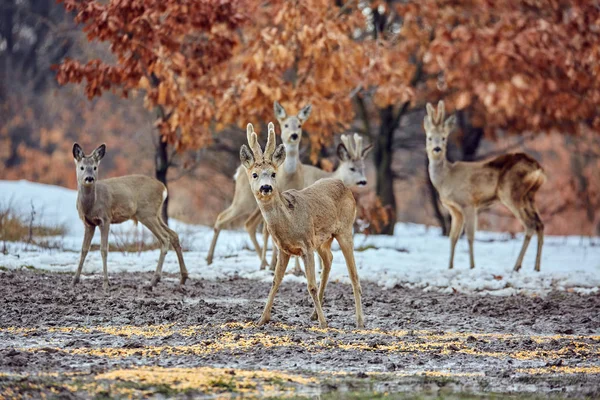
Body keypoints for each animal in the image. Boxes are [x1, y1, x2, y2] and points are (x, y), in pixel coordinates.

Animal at [72, 142, 188, 290]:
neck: (91, 205)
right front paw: (75, 280)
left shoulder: (105, 218)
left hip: (147, 213)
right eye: (82, 167)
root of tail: (163, 188)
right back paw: (183, 278)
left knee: (164, 238)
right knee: (173, 234)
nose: (89, 178)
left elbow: (104, 249)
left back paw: (153, 281)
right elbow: (84, 249)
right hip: (156, 214)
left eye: (94, 167)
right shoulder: (89, 223)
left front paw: (106, 283)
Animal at [205, 102, 312, 266]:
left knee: (249, 224)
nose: (266, 187)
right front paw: (279, 264)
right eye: (286, 125)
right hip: (244, 200)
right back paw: (210, 258)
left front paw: (294, 267)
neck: (290, 175)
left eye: (300, 125)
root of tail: (238, 171)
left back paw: (264, 262)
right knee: (223, 217)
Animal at [240, 122, 364, 328]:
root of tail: (344, 185)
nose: (266, 187)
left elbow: (310, 285)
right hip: (322, 240)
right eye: (255, 174)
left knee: (353, 274)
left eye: (273, 174)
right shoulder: (284, 249)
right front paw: (262, 319)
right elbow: (275, 281)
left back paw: (359, 320)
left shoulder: (306, 245)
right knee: (329, 259)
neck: (289, 222)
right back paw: (314, 314)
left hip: (345, 230)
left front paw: (323, 323)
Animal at [424, 101, 548, 274]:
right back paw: (536, 267)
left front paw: (472, 266)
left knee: (529, 225)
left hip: (511, 193)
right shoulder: (455, 210)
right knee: (540, 224)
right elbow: (453, 237)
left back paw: (516, 266)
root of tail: (538, 169)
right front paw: (450, 266)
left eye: (443, 138)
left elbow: (470, 235)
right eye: (429, 138)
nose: (437, 148)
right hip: (529, 196)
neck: (447, 178)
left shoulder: (468, 202)